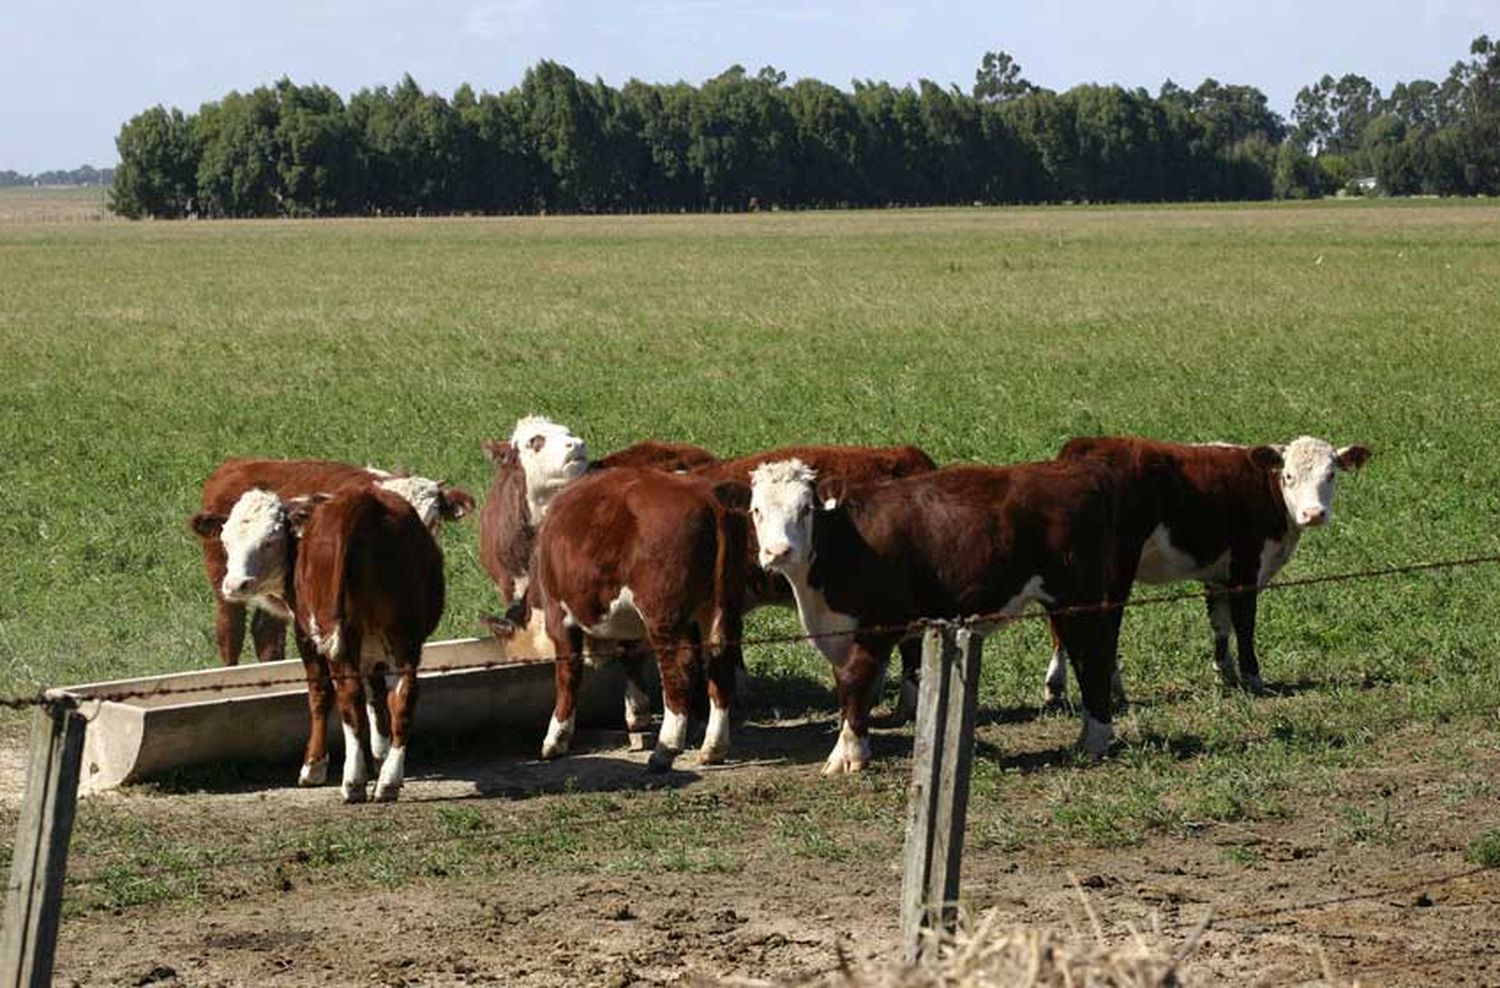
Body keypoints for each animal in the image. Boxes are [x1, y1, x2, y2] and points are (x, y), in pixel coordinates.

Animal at [192, 485, 444, 803]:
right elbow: (376, 697)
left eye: (270, 541)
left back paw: (353, 781)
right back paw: (388, 779)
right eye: (226, 541)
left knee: (348, 696)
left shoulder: (305, 634)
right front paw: (379, 755)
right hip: (404, 636)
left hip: (340, 637)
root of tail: (364, 505)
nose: (236, 585)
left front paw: (314, 766)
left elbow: (320, 693)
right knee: (404, 695)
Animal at [531, 470, 747, 773]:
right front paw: (637, 712)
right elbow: (630, 657)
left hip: (663, 615)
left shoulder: (558, 616)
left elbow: (568, 675)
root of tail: (705, 495)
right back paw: (713, 748)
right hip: (722, 610)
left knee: (679, 671)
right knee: (721, 667)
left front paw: (556, 738)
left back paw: (665, 749)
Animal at [744, 458, 1128, 779]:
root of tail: (1077, 471)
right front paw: (859, 748)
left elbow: (854, 683)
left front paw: (846, 755)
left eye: (805, 509)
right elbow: (849, 689)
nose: (778, 552)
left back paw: (1092, 742)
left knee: (1092, 658)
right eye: (757, 509)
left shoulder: (875, 628)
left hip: (1076, 600)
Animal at [1038, 434, 1374, 704]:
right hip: (1117, 567)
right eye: (1288, 475)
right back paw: (1113, 690)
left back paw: (1056, 687)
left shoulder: (1219, 574)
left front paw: (1225, 672)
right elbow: (1245, 621)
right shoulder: (1246, 565)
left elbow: (1220, 622)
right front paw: (1253, 677)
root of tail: (1083, 446)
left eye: (1331, 474)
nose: (1314, 514)